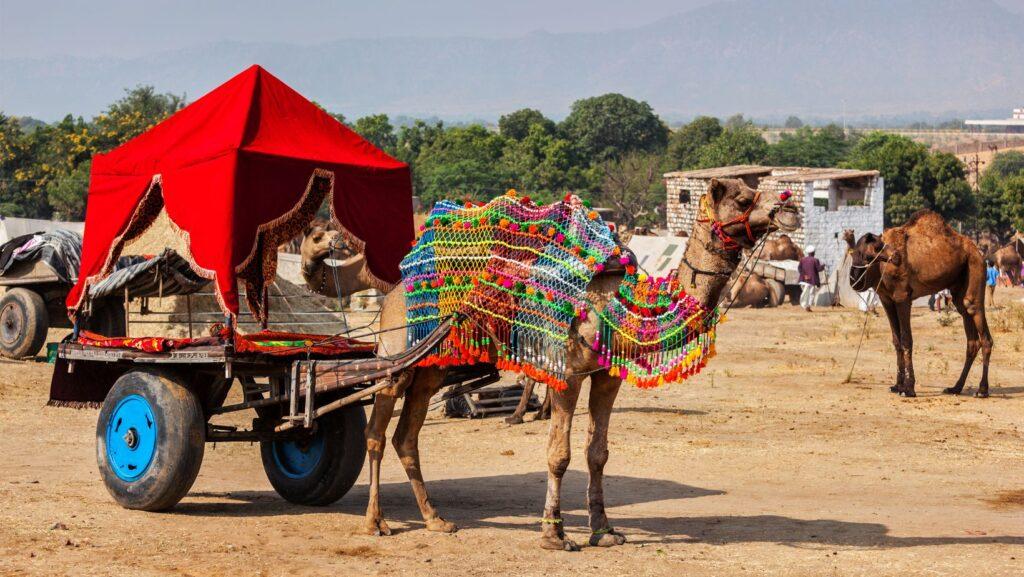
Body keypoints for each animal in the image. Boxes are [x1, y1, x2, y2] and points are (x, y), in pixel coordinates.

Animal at [360, 177, 798, 549]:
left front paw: (604, 531)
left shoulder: (606, 375)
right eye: (741, 198)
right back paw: (376, 522)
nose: (789, 208)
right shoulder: (567, 373)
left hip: (431, 366)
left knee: (406, 436)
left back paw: (435, 519)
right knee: (376, 432)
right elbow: (559, 455)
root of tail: (395, 289)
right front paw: (554, 535)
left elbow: (597, 453)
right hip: (396, 356)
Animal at [843, 211, 995, 397]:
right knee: (971, 338)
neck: (879, 269)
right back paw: (955, 387)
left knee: (982, 329)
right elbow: (896, 341)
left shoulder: (902, 297)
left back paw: (982, 390)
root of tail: (978, 251)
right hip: (960, 289)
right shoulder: (887, 300)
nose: (897, 257)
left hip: (975, 267)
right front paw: (897, 386)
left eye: (878, 248)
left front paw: (909, 389)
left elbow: (906, 340)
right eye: (860, 252)